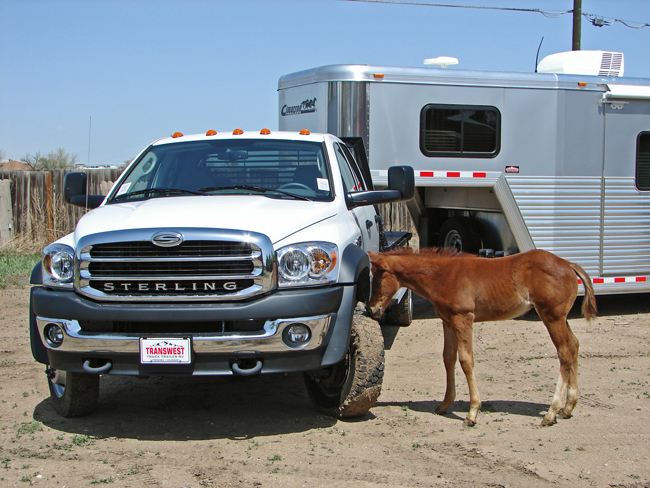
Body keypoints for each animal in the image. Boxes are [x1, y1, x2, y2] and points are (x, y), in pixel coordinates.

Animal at [364, 250, 592, 426]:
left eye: (377, 281)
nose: (371, 309)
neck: (442, 276)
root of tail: (568, 264)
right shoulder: (448, 321)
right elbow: (448, 358)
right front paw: (445, 405)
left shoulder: (463, 317)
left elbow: (466, 360)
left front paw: (472, 413)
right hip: (560, 317)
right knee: (574, 345)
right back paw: (568, 408)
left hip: (552, 316)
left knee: (564, 352)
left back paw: (551, 413)